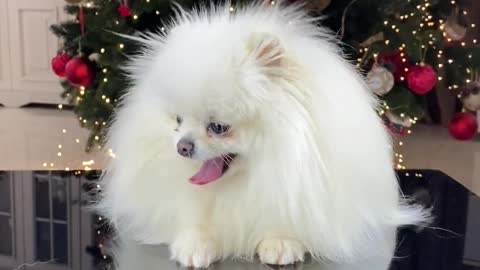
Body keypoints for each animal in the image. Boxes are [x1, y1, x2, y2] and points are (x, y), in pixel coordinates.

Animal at [96, 2, 428, 270]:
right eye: (177, 120)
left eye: (218, 126)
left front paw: (280, 242)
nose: (182, 146)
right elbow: (191, 217)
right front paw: (195, 244)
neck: (252, 176)